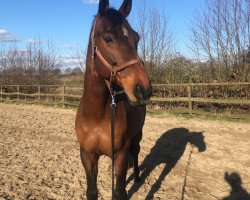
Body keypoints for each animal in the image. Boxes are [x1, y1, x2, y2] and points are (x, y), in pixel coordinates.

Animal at [75, 0, 151, 199]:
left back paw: (138, 177)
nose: (143, 89)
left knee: (136, 151)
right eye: (108, 38)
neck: (96, 113)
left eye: (136, 38)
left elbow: (119, 192)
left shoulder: (120, 155)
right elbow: (92, 191)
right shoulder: (87, 155)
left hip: (137, 134)